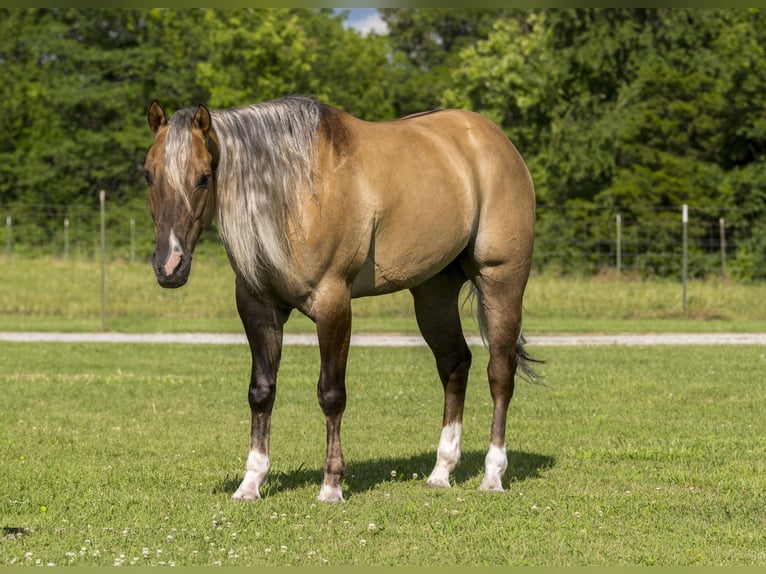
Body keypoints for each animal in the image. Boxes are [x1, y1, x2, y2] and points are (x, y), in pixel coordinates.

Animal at [143, 96, 538, 503]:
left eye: (204, 177)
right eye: (148, 175)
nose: (169, 265)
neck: (297, 193)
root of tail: (495, 140)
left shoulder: (333, 305)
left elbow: (331, 394)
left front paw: (331, 485)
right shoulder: (258, 309)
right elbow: (261, 392)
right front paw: (251, 482)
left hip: (502, 281)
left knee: (500, 373)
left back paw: (492, 475)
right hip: (433, 293)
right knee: (455, 364)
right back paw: (441, 472)